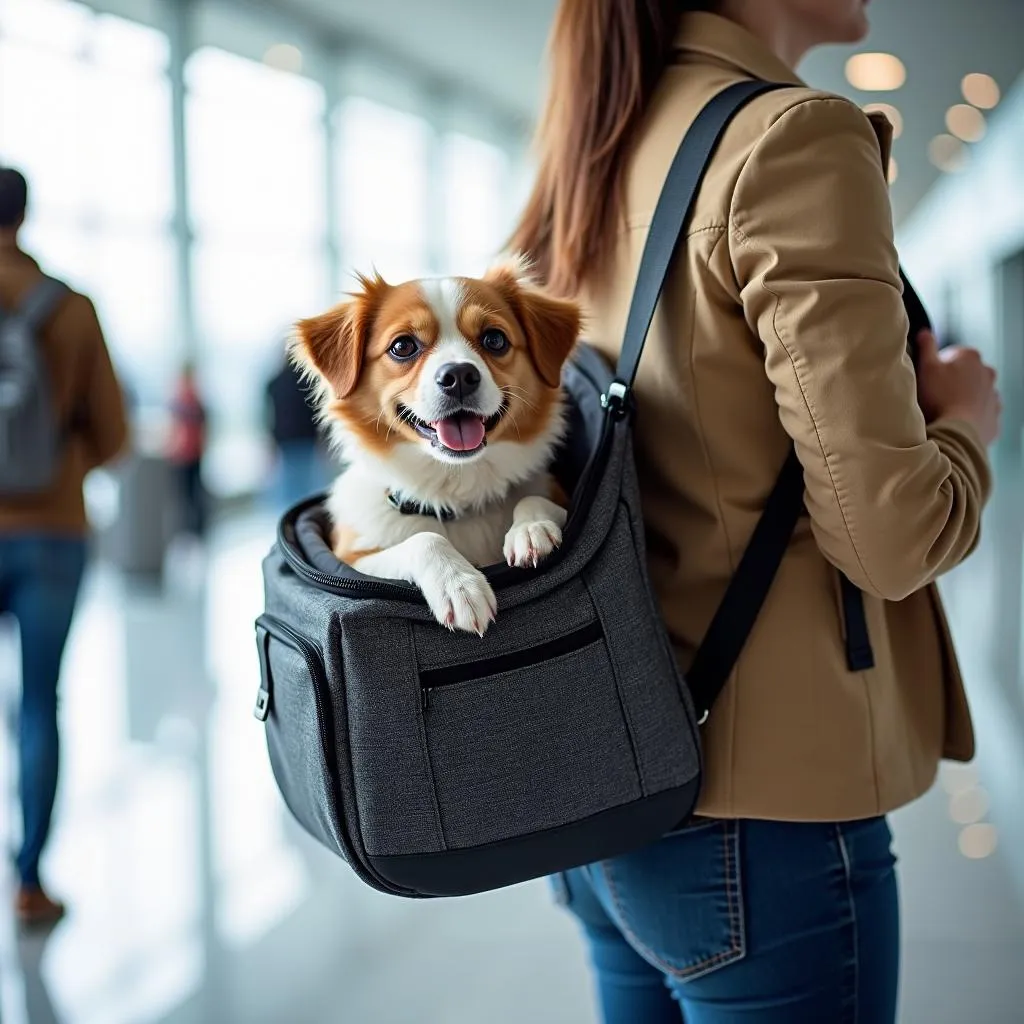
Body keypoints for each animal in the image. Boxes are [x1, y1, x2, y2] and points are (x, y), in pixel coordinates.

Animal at [292, 260, 581, 634]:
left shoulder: (560, 497)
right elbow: (425, 539)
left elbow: (533, 498)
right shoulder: (351, 561)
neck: (456, 491)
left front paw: (531, 530)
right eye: (403, 346)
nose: (459, 376)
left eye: (495, 339)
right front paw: (458, 584)